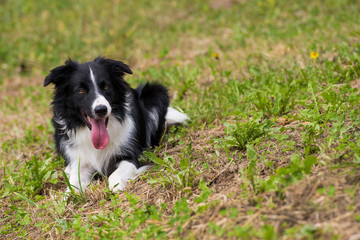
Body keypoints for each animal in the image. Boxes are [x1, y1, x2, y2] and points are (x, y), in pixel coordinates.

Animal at [44, 57, 188, 192]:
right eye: (80, 90)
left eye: (106, 87)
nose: (101, 110)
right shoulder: (82, 163)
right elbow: (73, 185)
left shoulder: (130, 155)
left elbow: (115, 175)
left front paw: (116, 186)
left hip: (155, 92)